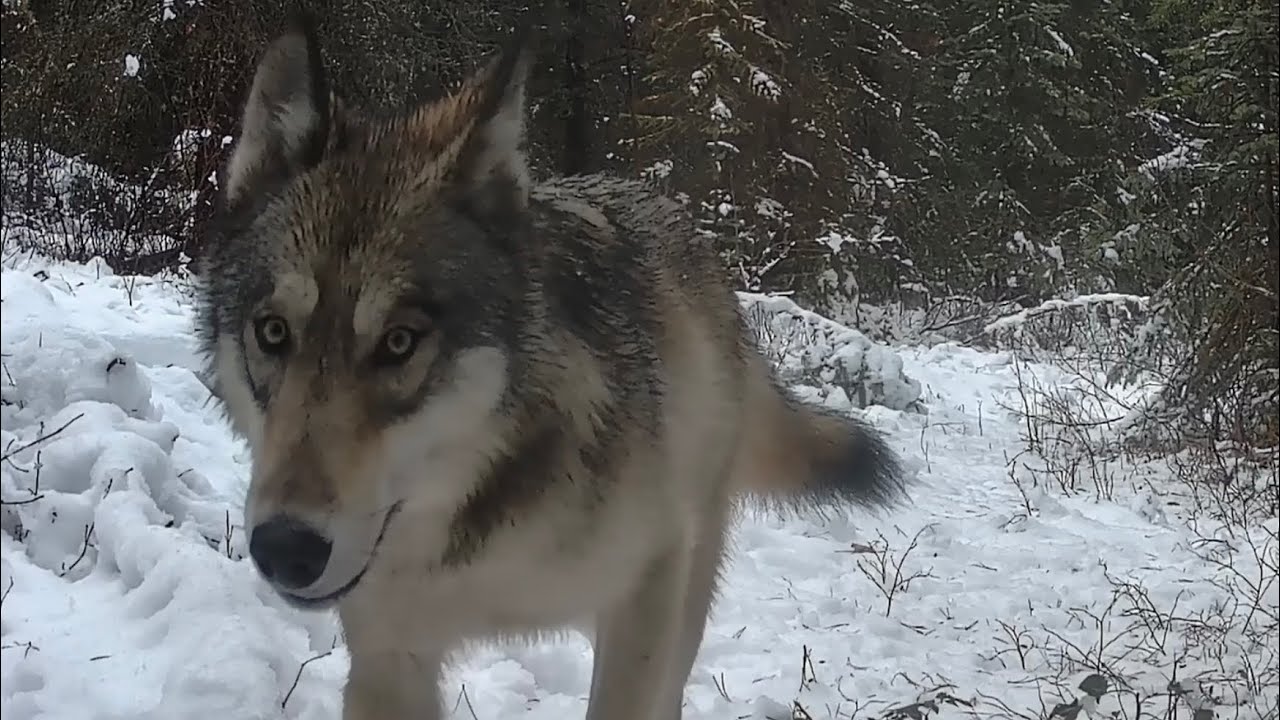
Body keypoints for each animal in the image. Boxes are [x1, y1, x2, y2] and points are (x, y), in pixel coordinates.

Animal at [195, 14, 907, 720]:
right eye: (273, 332)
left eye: (399, 342)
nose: (285, 549)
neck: (477, 523)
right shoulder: (389, 657)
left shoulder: (645, 592)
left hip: (688, 580)